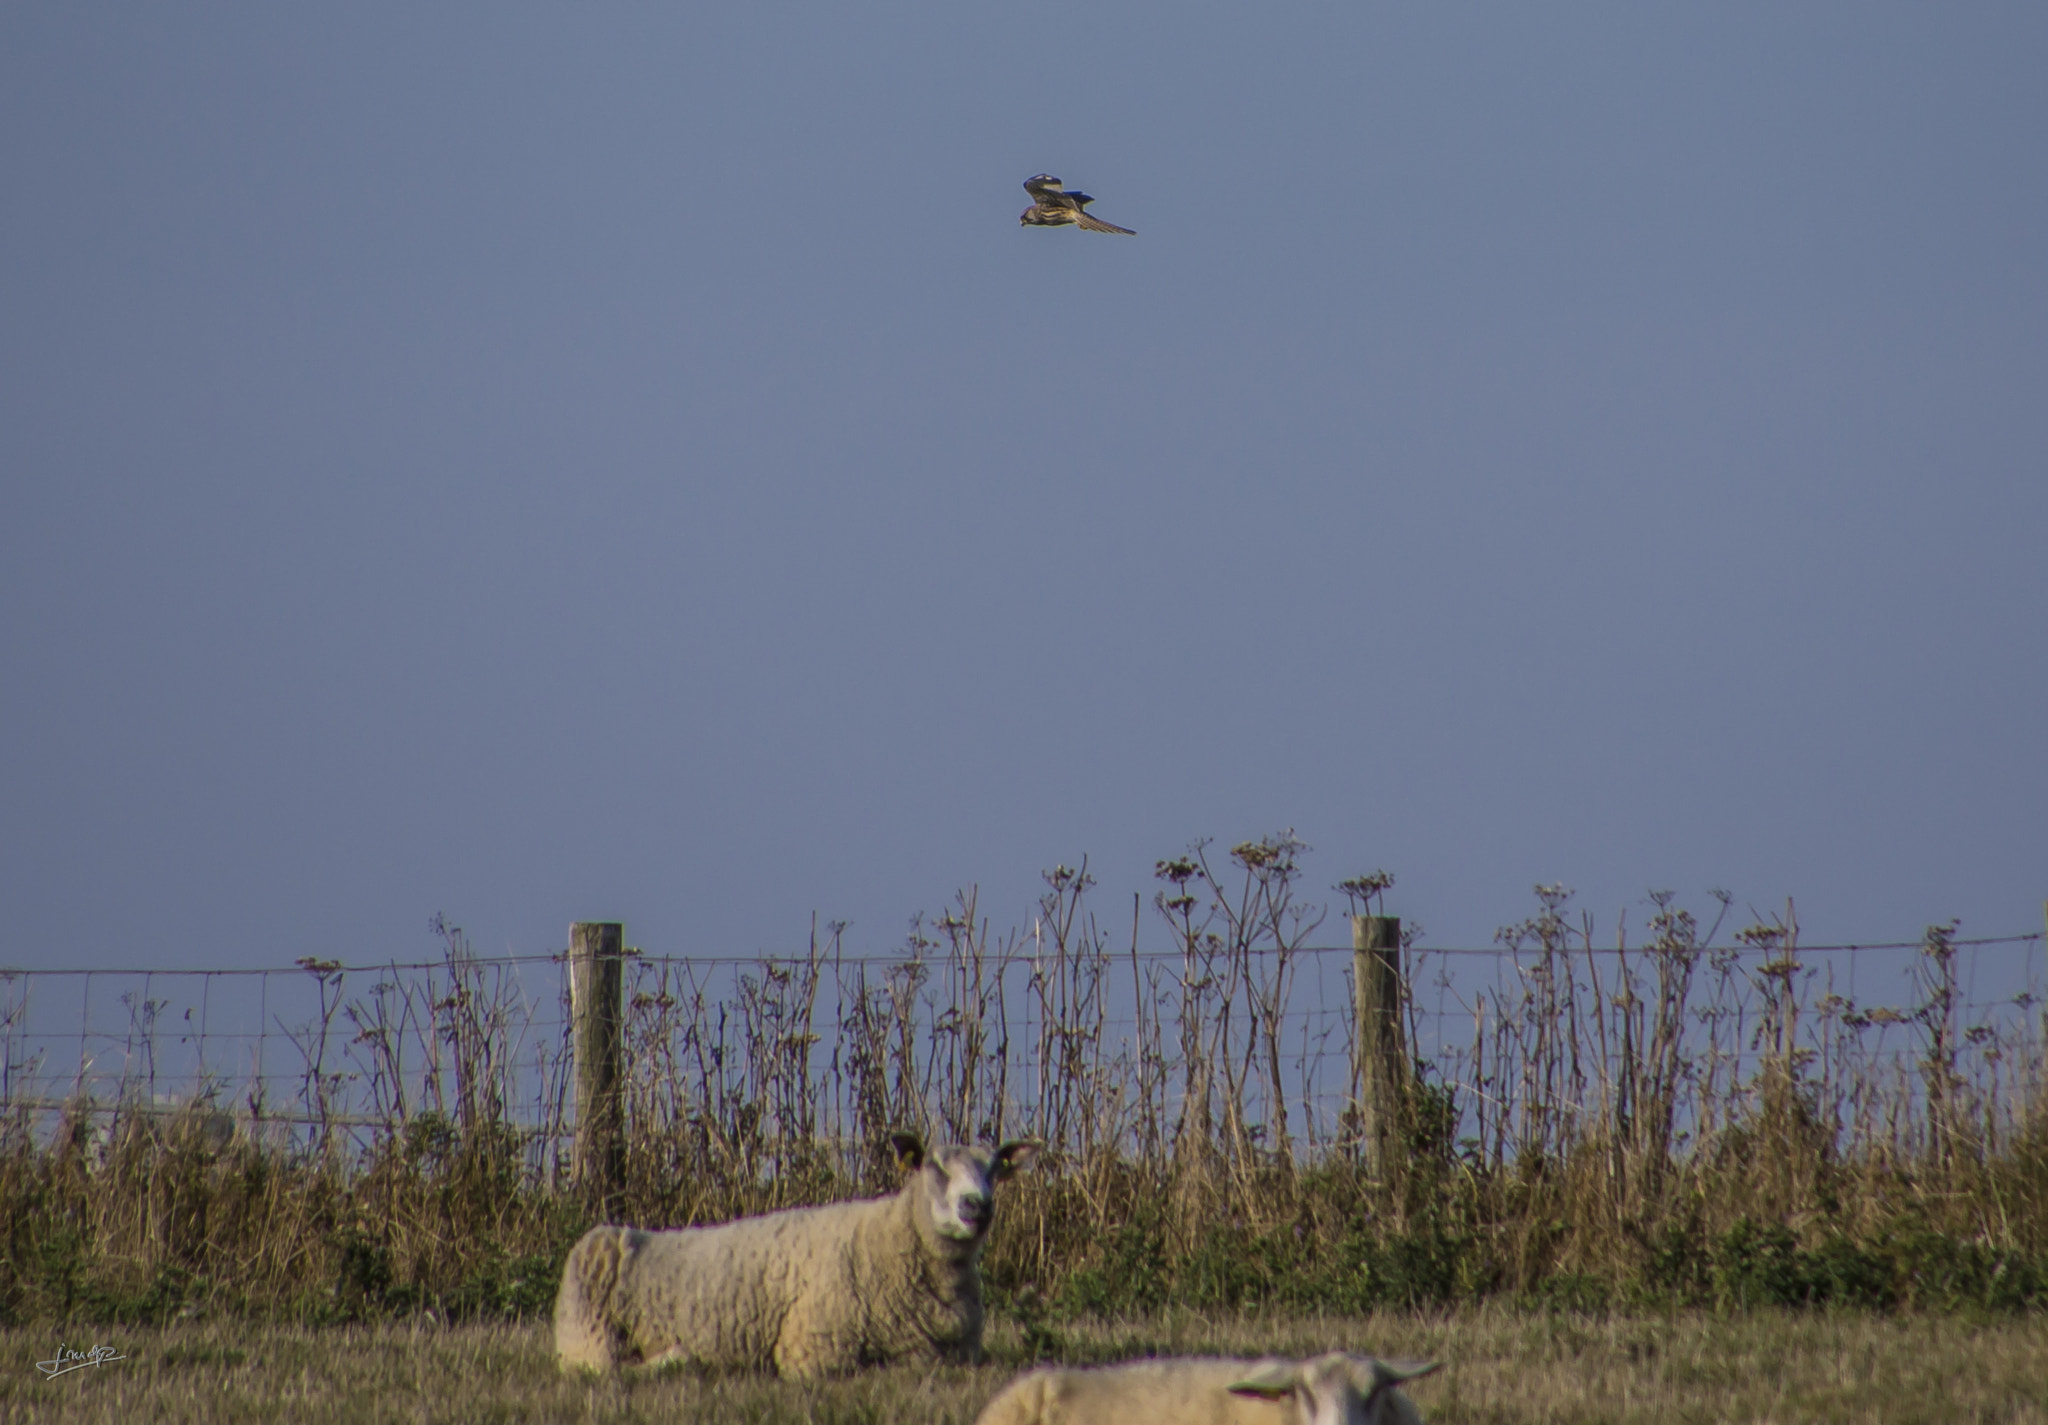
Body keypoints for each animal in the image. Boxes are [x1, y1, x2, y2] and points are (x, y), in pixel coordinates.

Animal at [552, 1130, 1040, 1375]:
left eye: (995, 1169)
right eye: (935, 1167)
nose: (977, 1206)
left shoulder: (959, 1356)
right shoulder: (811, 1350)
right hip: (587, 1335)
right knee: (607, 1368)